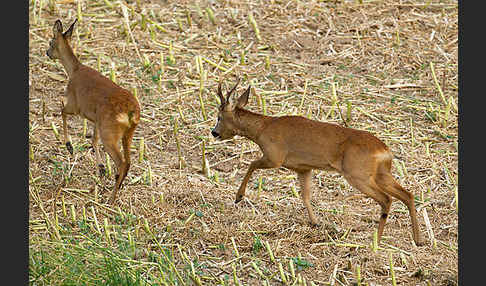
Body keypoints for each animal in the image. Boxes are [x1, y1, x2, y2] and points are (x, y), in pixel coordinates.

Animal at [46, 19, 140, 203]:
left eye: (51, 41)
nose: (47, 53)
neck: (75, 70)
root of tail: (131, 112)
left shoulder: (76, 106)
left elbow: (62, 110)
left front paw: (69, 146)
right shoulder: (96, 119)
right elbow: (93, 140)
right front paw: (101, 168)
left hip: (109, 134)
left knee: (121, 162)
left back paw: (111, 200)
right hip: (126, 134)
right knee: (128, 162)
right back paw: (117, 187)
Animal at [211, 79, 424, 246]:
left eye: (219, 117)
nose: (214, 133)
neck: (263, 129)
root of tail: (384, 151)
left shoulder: (275, 157)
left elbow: (251, 164)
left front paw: (238, 196)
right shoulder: (303, 168)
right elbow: (305, 196)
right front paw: (315, 222)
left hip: (358, 174)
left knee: (386, 199)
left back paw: (376, 241)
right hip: (382, 174)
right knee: (408, 195)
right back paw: (418, 239)